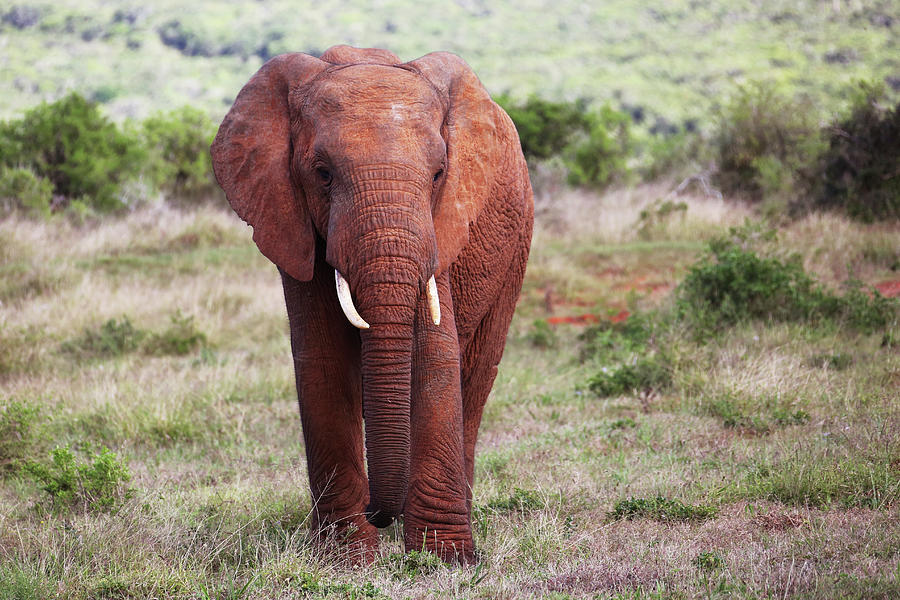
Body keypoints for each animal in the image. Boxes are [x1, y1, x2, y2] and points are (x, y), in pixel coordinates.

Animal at [209, 45, 536, 564]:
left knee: (479, 369)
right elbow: (322, 360)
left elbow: (436, 357)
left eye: (439, 174)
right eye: (322, 174)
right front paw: (345, 556)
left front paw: (445, 560)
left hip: (516, 245)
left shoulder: (442, 225)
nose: (381, 513)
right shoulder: (293, 222)